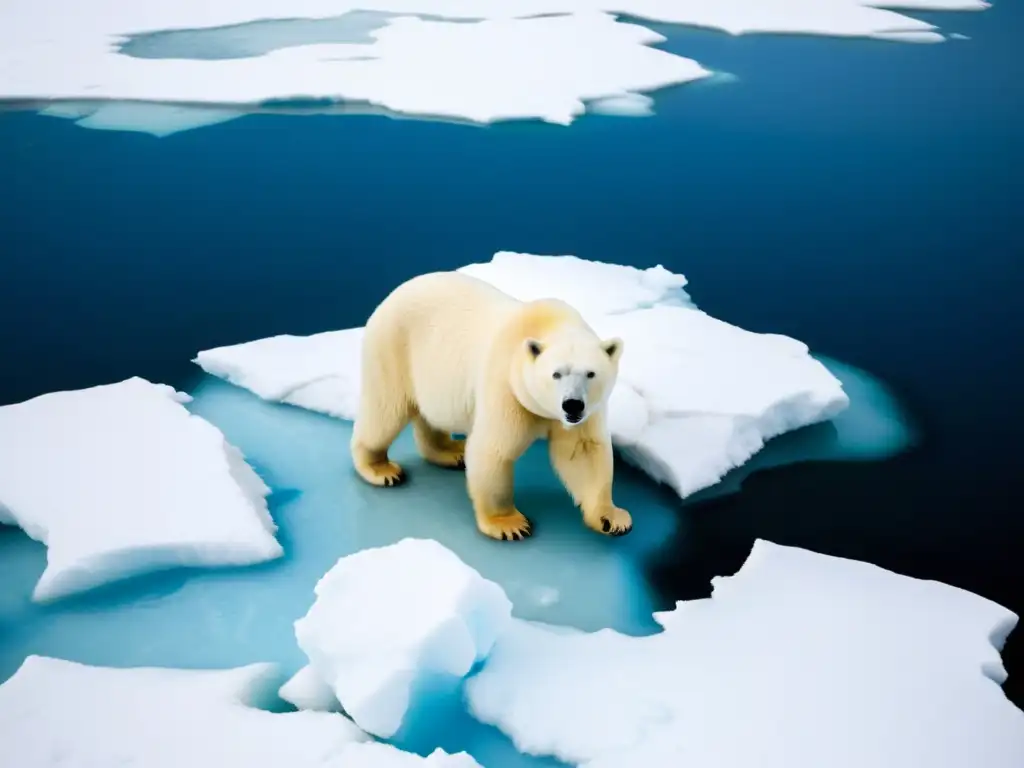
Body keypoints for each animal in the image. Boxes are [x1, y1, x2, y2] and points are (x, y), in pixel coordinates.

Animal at [350, 270, 630, 540]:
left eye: (591, 373)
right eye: (556, 374)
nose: (572, 405)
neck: (546, 323)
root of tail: (394, 293)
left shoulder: (587, 412)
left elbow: (583, 451)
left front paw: (611, 518)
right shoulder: (506, 386)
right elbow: (494, 450)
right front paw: (509, 525)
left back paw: (452, 452)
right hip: (393, 348)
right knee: (386, 411)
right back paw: (381, 469)